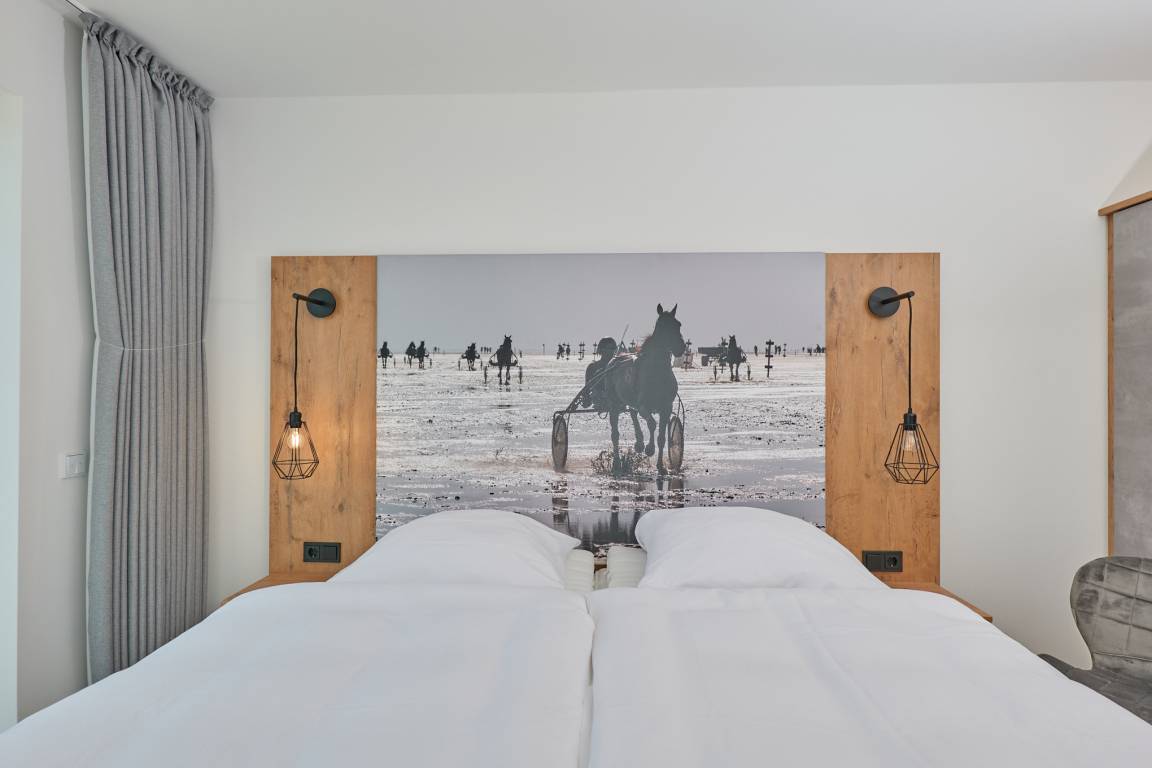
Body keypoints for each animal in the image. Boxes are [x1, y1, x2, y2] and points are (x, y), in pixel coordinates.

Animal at [602, 303, 685, 475]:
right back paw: (617, 463)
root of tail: (615, 357)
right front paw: (649, 448)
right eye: (662, 326)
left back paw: (639, 442)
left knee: (632, 413)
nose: (681, 347)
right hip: (614, 404)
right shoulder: (644, 406)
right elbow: (652, 424)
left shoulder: (666, 407)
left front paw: (661, 466)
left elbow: (662, 437)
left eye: (678, 324)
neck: (657, 371)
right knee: (615, 433)